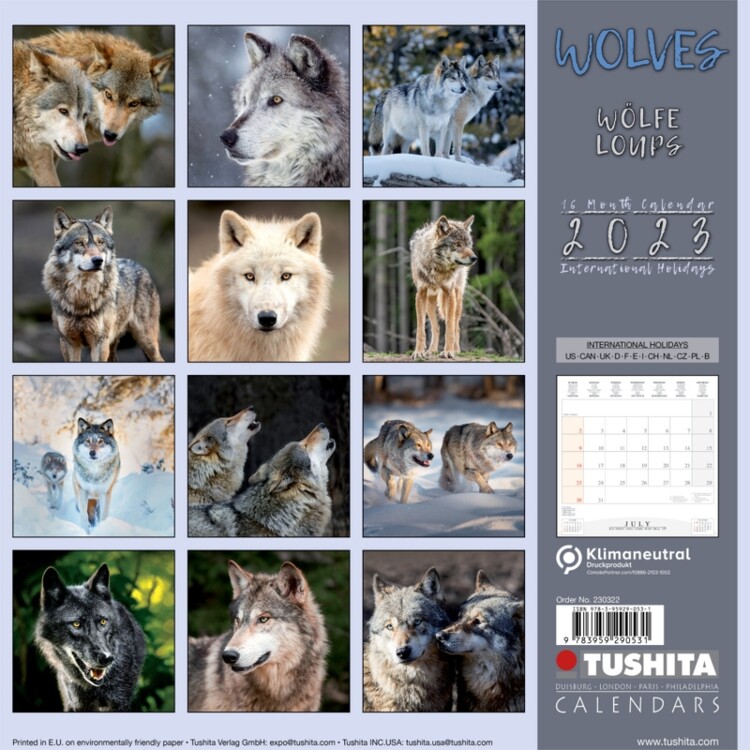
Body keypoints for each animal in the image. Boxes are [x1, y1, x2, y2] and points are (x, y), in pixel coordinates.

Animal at [42, 206, 164, 363]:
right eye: (79, 243)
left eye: (101, 242)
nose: (98, 260)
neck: (82, 296)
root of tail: (139, 265)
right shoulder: (68, 342)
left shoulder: (99, 343)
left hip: (146, 342)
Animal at [410, 215, 476, 360]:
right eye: (457, 244)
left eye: (468, 244)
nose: (475, 258)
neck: (439, 269)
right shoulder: (420, 294)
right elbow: (420, 329)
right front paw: (418, 352)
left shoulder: (449, 294)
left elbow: (450, 328)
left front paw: (448, 352)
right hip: (430, 303)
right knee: (436, 328)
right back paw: (432, 350)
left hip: (456, 301)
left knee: (456, 327)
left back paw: (456, 350)